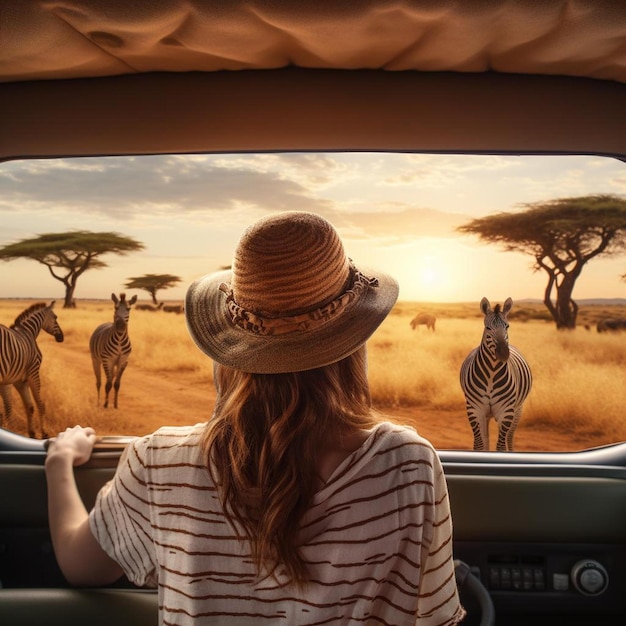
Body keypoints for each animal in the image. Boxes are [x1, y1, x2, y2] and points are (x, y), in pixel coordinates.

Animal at [0, 300, 63, 436]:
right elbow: (40, 405)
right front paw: (44, 432)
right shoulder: (33, 372)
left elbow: (27, 407)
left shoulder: (17, 380)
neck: (28, 332)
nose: (61, 337)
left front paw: (32, 432)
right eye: (55, 317)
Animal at [458, 296, 532, 448]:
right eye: (488, 327)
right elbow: (479, 445)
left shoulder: (506, 412)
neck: (491, 373)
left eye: (507, 326)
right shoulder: (475, 410)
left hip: (518, 409)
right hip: (486, 414)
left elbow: (501, 446)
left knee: (509, 438)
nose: (503, 353)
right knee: (486, 439)